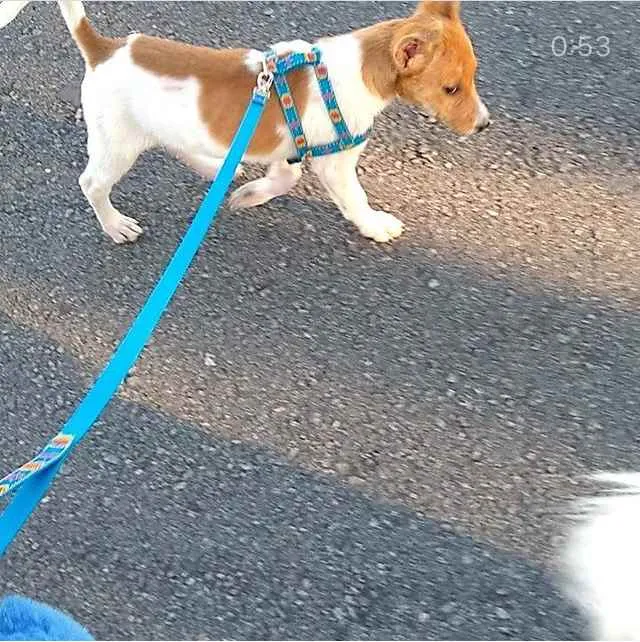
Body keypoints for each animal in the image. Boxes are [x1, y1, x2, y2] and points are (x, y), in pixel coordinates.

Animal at [0, 0, 489, 245]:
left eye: (473, 76)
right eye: (451, 88)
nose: (484, 125)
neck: (355, 68)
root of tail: (104, 49)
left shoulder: (290, 148)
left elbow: (283, 179)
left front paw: (250, 194)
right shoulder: (334, 164)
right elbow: (355, 200)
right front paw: (376, 226)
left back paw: (218, 168)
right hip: (116, 144)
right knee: (91, 184)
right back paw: (114, 224)